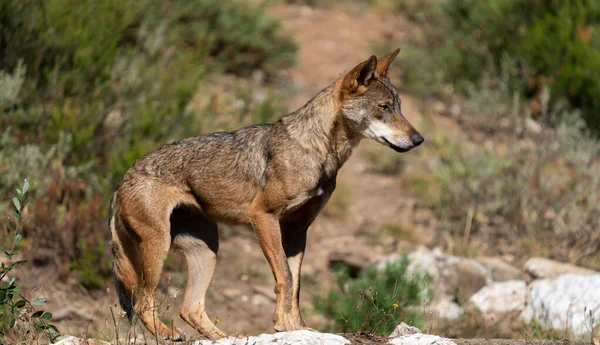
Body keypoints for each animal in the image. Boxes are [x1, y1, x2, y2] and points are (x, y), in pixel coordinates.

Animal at [110, 48, 424, 338]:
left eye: (399, 107)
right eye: (384, 107)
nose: (419, 139)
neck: (318, 151)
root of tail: (121, 181)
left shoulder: (298, 230)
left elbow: (296, 284)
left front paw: (298, 327)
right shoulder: (262, 216)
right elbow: (284, 276)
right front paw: (283, 324)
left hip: (208, 251)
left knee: (190, 308)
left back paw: (225, 338)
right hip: (159, 247)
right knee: (142, 303)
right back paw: (167, 333)